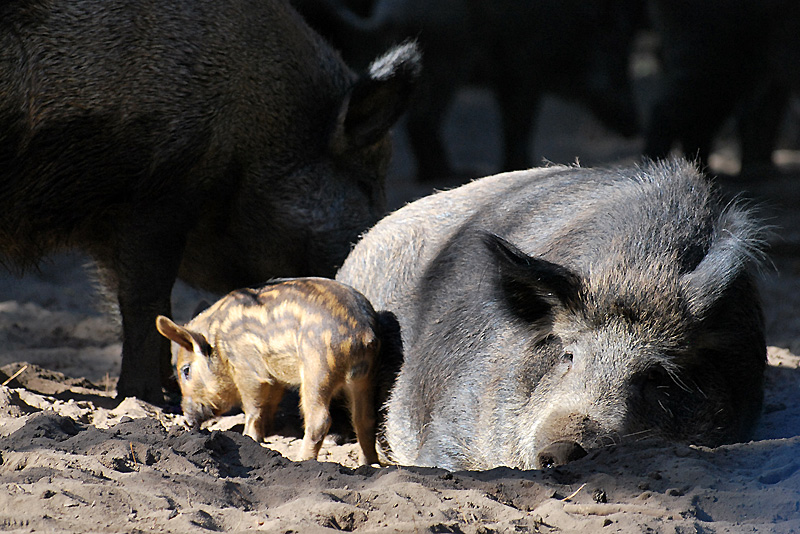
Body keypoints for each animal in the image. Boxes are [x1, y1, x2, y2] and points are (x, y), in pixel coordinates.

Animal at [296, 0, 640, 182]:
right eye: (616, 51)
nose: (632, 129)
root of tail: (393, 10)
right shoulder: (522, 68)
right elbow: (519, 122)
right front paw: (518, 164)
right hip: (449, 60)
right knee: (424, 121)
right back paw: (448, 173)